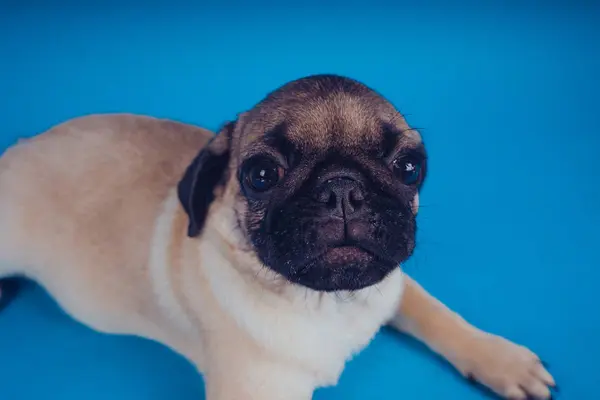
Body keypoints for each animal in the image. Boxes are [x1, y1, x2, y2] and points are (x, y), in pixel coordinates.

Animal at [0, 76, 556, 400]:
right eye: (261, 175)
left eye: (409, 167)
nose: (342, 189)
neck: (327, 303)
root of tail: (22, 146)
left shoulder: (392, 285)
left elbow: (438, 315)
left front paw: (500, 359)